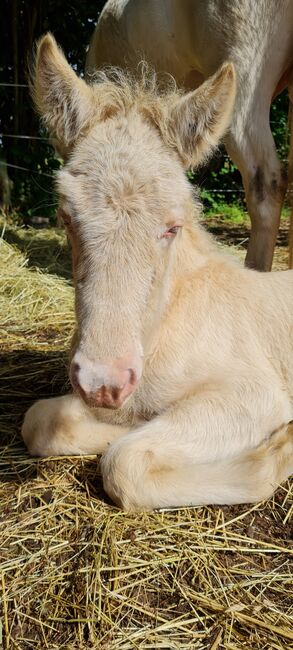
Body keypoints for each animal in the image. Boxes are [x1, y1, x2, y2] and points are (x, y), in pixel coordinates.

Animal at [22, 34, 292, 512]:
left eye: (172, 227)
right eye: (66, 217)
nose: (103, 383)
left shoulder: (258, 394)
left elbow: (124, 464)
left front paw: (279, 448)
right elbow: (39, 421)